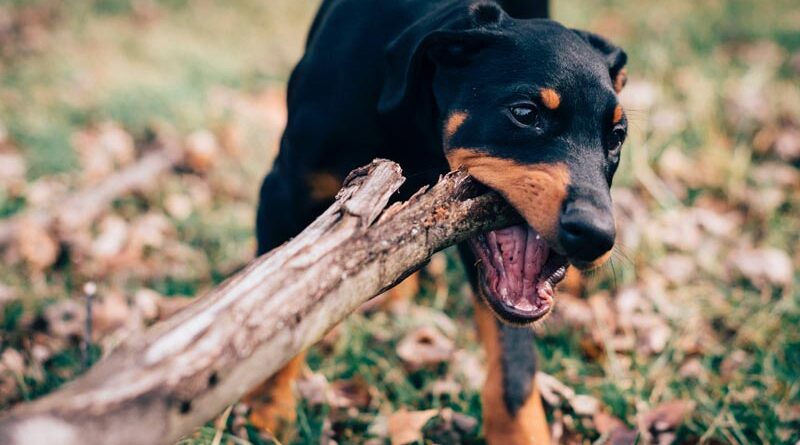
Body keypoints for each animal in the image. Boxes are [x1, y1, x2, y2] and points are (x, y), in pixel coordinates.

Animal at [247, 0, 628, 440]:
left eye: (617, 136)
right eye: (524, 113)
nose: (596, 236)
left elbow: (514, 365)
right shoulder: (283, 194)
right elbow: (279, 314)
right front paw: (268, 411)